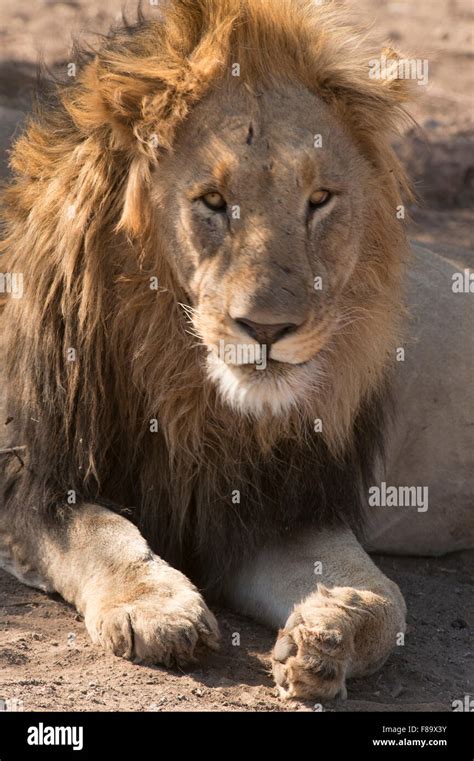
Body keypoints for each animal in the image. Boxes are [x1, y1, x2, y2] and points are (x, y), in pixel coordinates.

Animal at [0, 0, 474, 700]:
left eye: (319, 200)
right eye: (213, 202)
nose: (267, 329)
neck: (183, 389)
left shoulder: (271, 508)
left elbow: (386, 598)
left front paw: (328, 631)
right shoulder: (33, 475)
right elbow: (98, 532)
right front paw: (154, 610)